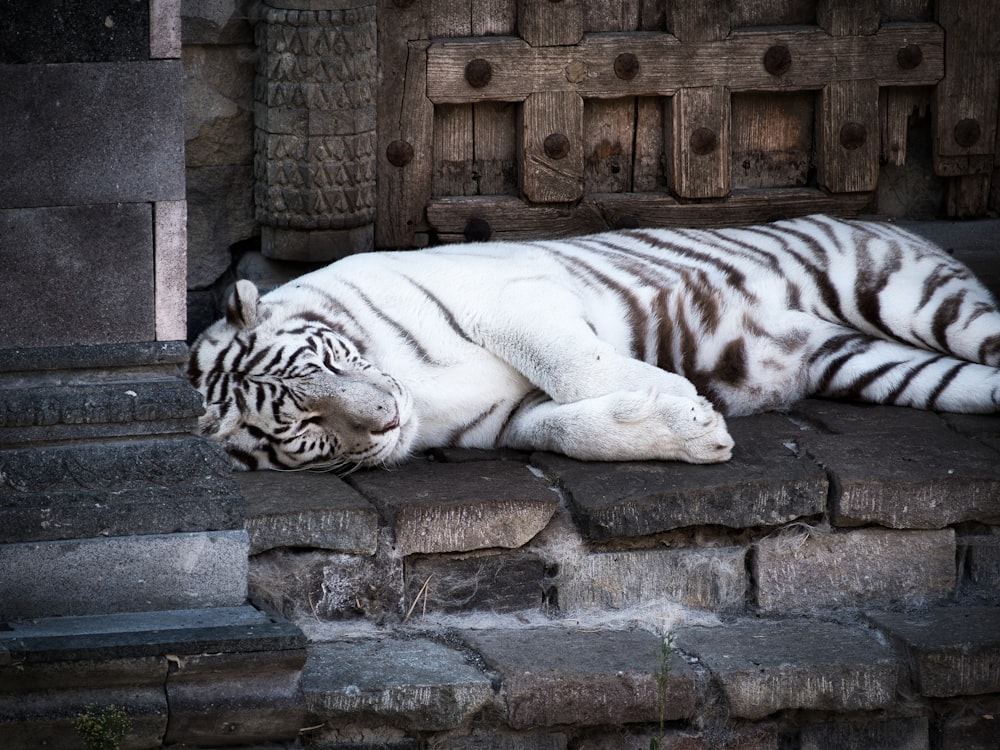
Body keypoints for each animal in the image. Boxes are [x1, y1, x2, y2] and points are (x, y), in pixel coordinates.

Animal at [188, 214, 1000, 470]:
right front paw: (689, 430)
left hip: (913, 298)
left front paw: (681, 396)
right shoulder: (508, 421)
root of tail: (898, 224)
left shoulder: (508, 298)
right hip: (875, 366)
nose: (386, 419)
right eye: (307, 427)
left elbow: (576, 366)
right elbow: (574, 430)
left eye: (328, 363)